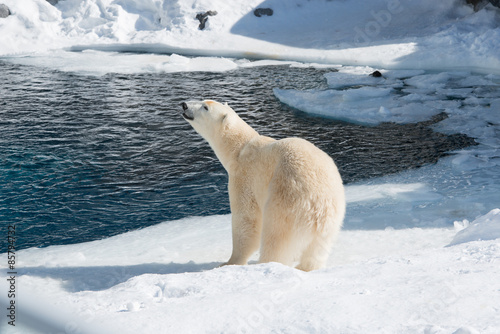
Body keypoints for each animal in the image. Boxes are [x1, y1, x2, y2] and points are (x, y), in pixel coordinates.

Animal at [182, 100, 346, 272]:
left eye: (205, 107)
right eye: (202, 101)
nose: (184, 104)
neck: (240, 149)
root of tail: (320, 205)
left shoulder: (246, 177)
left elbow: (246, 219)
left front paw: (230, 262)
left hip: (287, 200)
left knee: (275, 237)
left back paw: (266, 264)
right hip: (332, 220)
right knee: (317, 250)